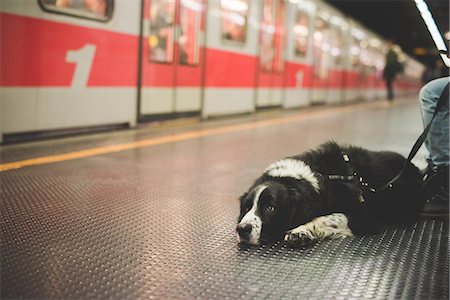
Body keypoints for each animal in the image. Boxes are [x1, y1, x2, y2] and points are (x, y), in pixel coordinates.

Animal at [236, 142, 426, 247]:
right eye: (246, 208)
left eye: (271, 208)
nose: (242, 229)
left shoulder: (363, 216)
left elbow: (329, 217)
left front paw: (301, 231)